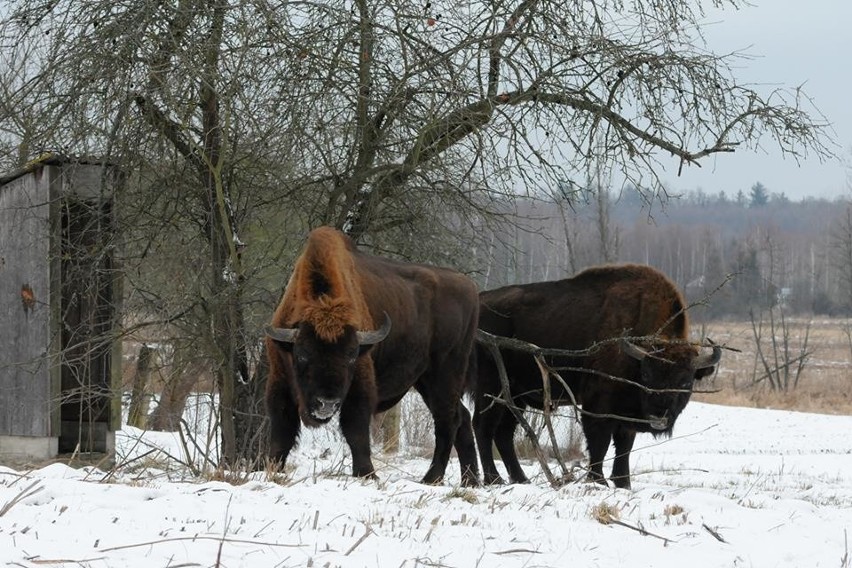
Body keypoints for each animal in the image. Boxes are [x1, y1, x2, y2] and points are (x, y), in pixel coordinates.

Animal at [264, 225, 480, 484]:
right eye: (303, 354)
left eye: (351, 355)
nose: (327, 403)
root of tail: (470, 286)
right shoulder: (280, 382)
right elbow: (281, 433)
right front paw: (271, 470)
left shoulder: (360, 385)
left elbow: (355, 429)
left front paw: (367, 474)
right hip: (426, 380)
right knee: (462, 417)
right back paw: (471, 480)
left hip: (445, 374)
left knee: (448, 419)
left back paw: (431, 478)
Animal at [472, 264, 720, 490]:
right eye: (646, 375)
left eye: (685, 381)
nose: (658, 416)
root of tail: (479, 300)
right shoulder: (598, 406)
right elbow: (599, 442)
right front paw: (598, 480)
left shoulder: (626, 415)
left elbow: (624, 447)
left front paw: (623, 483)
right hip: (491, 388)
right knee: (483, 426)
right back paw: (493, 479)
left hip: (515, 396)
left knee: (503, 433)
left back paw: (520, 479)